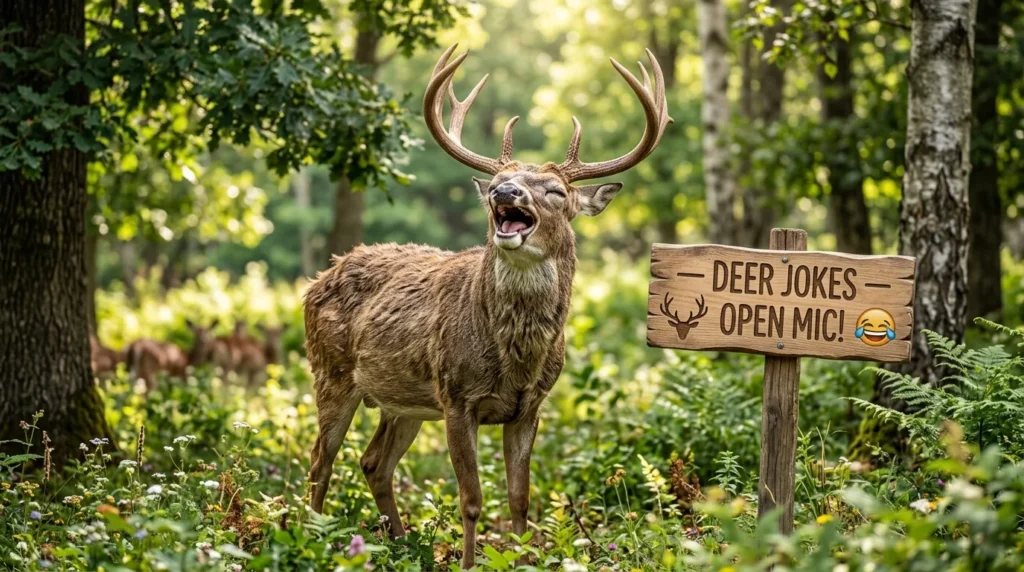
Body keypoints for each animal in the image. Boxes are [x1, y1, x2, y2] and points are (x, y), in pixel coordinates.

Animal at [303, 44, 670, 569]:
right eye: (499, 178)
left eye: (556, 191)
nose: (504, 191)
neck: (513, 356)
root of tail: (318, 279)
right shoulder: (458, 396)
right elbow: (472, 499)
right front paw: (469, 561)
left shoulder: (530, 405)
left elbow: (520, 499)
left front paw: (522, 558)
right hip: (330, 371)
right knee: (320, 460)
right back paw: (309, 538)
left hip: (406, 402)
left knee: (373, 462)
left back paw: (401, 544)